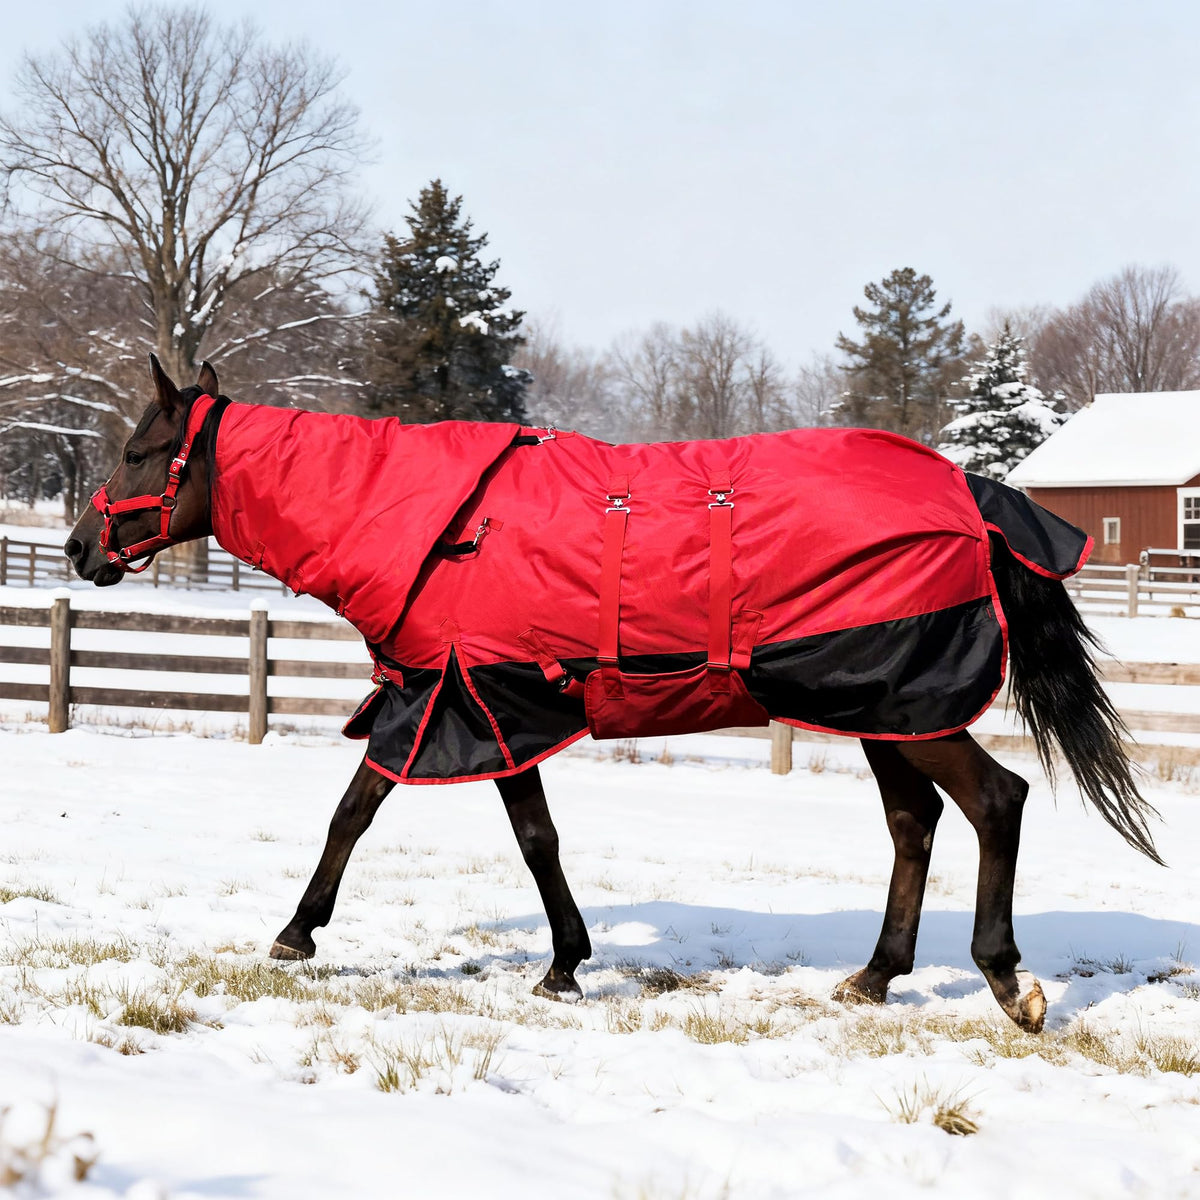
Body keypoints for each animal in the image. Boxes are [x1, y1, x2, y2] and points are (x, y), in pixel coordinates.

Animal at [65, 357, 1161, 1034]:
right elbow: (534, 838)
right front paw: (563, 961)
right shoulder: (491, 711)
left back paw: (1009, 983)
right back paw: (875, 975)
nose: (79, 549)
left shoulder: (462, 704)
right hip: (880, 711)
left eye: (136, 450)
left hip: (905, 709)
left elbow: (359, 815)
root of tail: (972, 496)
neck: (446, 530)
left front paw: (297, 933)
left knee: (994, 804)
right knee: (915, 826)